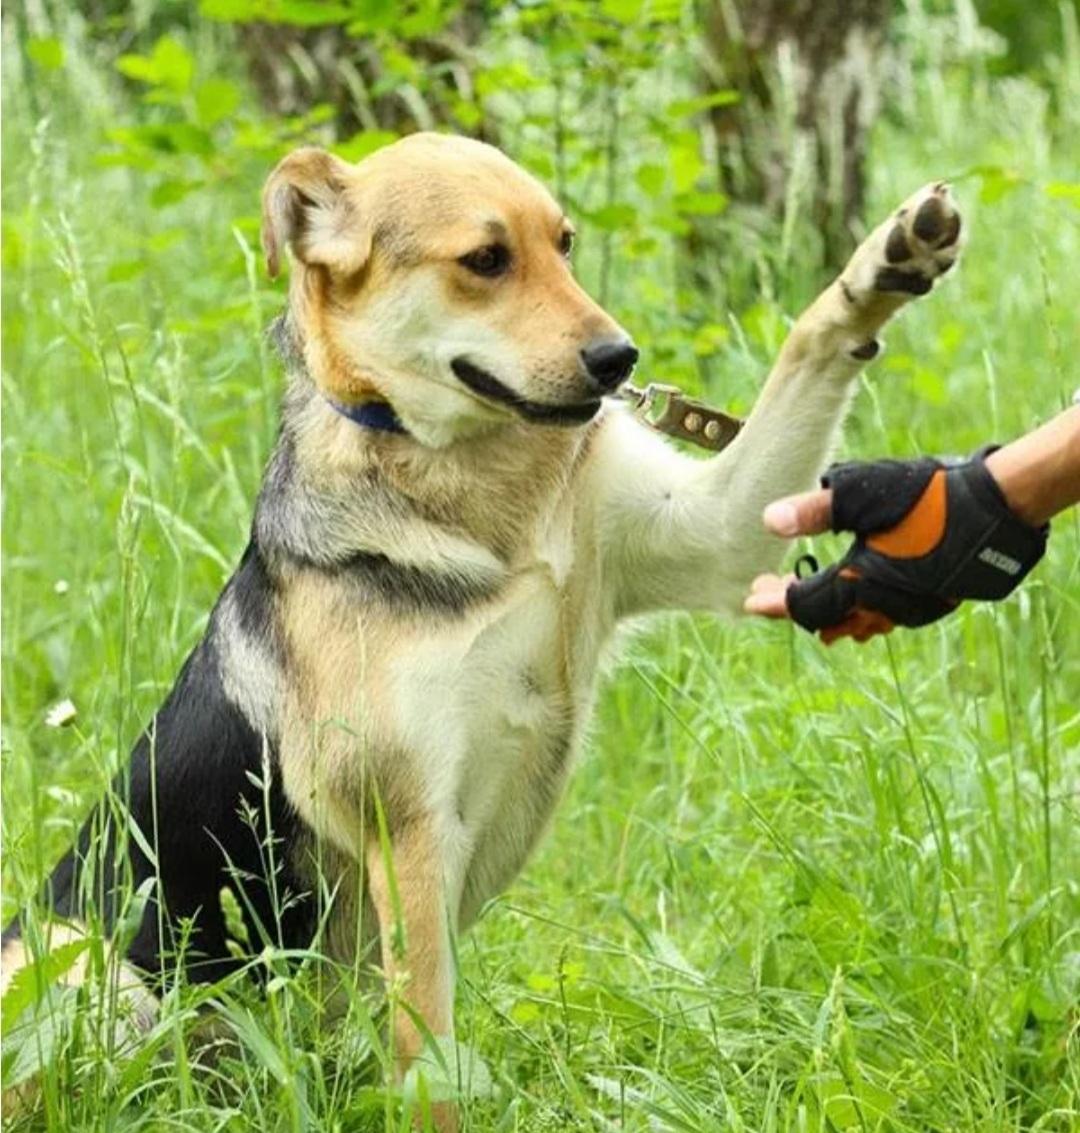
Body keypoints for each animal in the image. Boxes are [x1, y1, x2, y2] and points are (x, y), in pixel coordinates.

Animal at [0, 130, 961, 1123]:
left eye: (565, 244)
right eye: (485, 260)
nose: (620, 359)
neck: (473, 485)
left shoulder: (718, 533)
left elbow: (807, 346)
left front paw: (885, 263)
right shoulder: (413, 838)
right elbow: (430, 1062)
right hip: (95, 969)